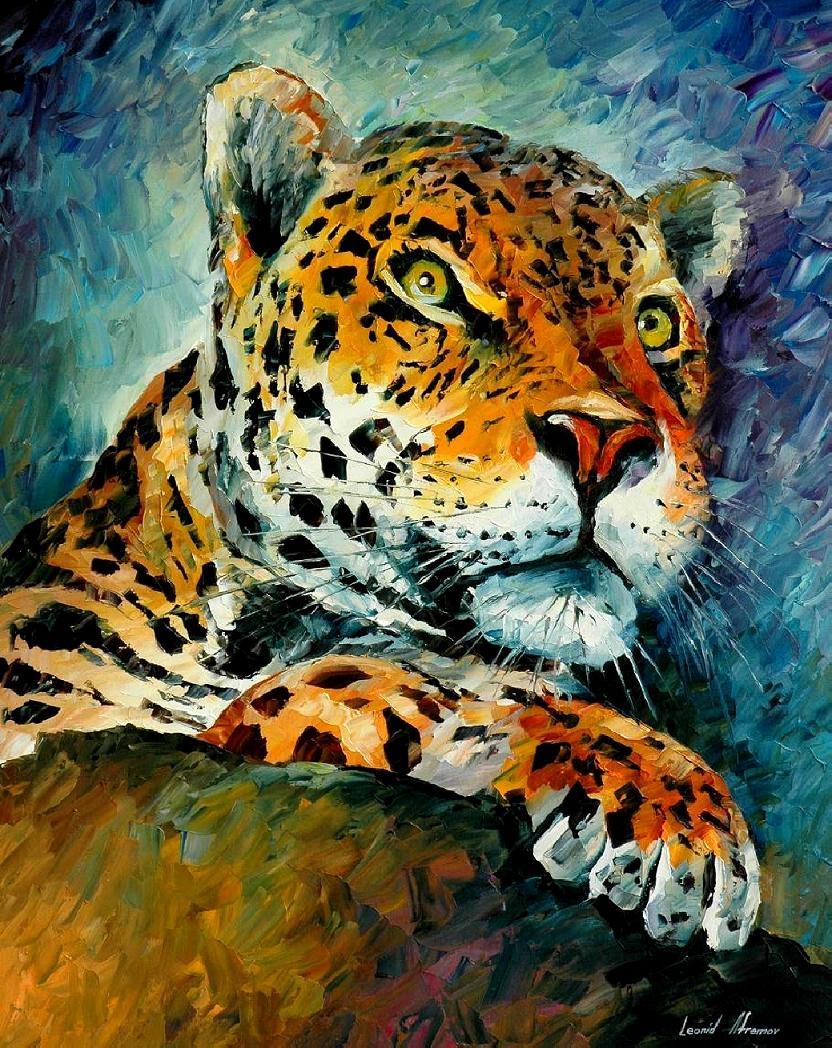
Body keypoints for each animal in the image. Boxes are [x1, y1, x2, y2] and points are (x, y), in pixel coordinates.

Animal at [0, 64, 758, 951]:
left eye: (657, 321)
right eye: (429, 285)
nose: (607, 443)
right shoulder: (46, 717)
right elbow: (380, 684)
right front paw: (662, 800)